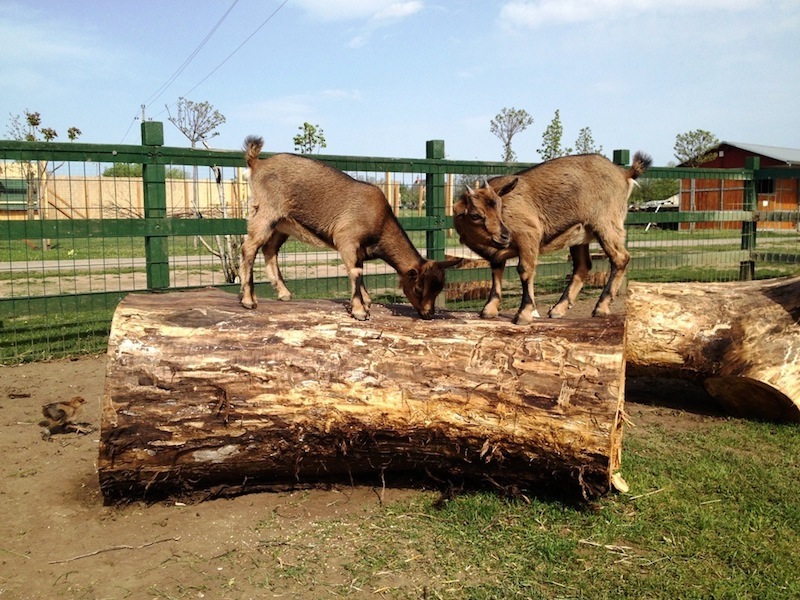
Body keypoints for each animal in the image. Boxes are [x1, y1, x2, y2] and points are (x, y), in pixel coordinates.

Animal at [241, 137, 460, 322]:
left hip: (282, 224)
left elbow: (360, 272)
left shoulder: (359, 250)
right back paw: (248, 300)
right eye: (418, 288)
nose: (428, 314)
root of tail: (257, 163)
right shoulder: (346, 239)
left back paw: (284, 293)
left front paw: (366, 301)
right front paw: (359, 311)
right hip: (267, 210)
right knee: (249, 247)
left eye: (438, 289)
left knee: (270, 249)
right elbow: (355, 273)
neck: (380, 222)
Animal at [454, 152, 652, 326]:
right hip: (580, 236)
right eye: (475, 215)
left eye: (499, 207)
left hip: (606, 223)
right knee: (583, 265)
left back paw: (600, 308)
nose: (505, 235)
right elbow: (496, 272)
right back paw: (559, 309)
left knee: (620, 258)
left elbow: (525, 270)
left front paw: (524, 314)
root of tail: (623, 173)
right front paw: (489, 309)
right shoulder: (497, 254)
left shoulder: (529, 236)